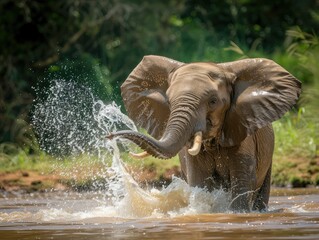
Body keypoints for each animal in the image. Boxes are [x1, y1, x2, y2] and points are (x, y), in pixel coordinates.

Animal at [108, 54, 302, 212]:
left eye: (213, 101)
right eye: (169, 102)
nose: (109, 136)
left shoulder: (242, 132)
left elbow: (242, 184)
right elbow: (200, 182)